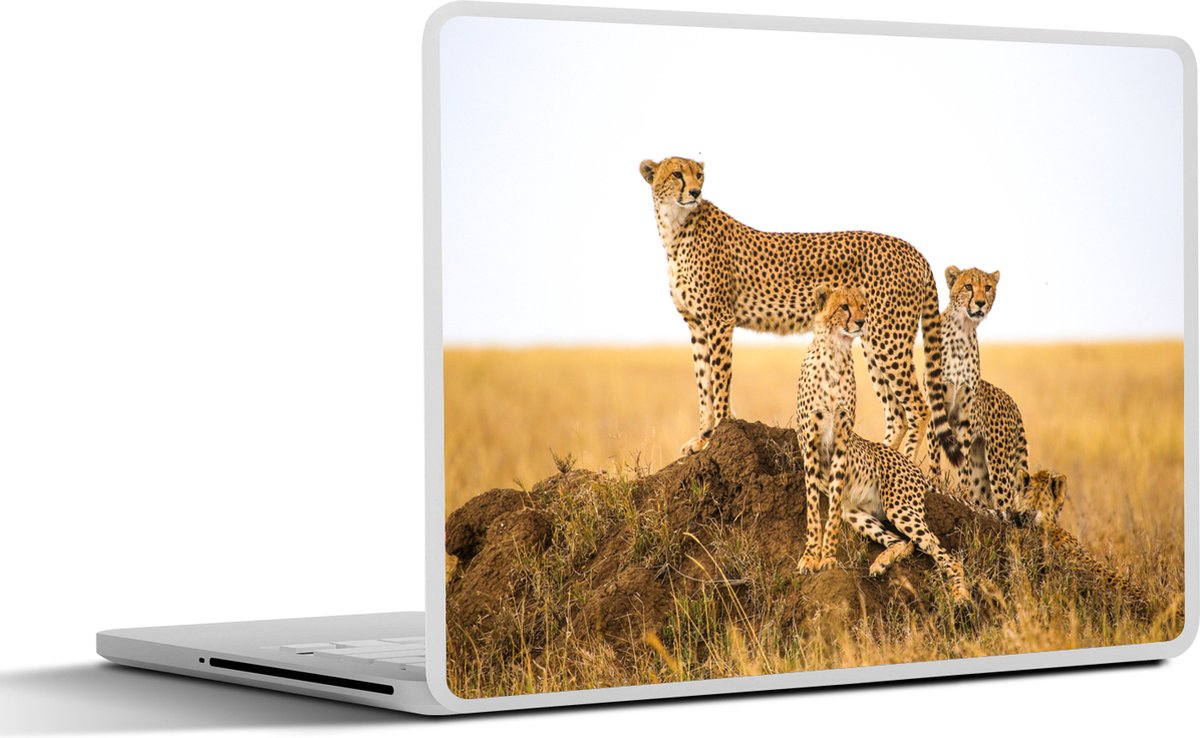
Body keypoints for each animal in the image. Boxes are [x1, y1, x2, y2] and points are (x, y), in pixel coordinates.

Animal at [639, 156, 962, 467]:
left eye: (699, 175)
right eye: (677, 174)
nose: (695, 192)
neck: (675, 228)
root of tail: (913, 250)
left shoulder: (719, 320)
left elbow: (718, 382)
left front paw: (715, 436)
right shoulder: (696, 324)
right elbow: (703, 384)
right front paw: (702, 438)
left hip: (888, 339)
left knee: (919, 408)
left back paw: (905, 464)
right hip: (872, 338)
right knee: (897, 413)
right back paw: (879, 460)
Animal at [794, 286, 970, 604]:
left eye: (863, 306)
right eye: (844, 307)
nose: (862, 322)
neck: (835, 351)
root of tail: (912, 466)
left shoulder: (841, 442)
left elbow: (831, 511)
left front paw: (828, 558)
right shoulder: (810, 444)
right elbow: (815, 508)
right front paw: (810, 557)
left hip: (900, 508)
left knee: (945, 555)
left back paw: (961, 595)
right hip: (859, 513)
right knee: (905, 542)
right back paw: (881, 563)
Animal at [927, 266, 1028, 518]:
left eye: (988, 287)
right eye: (968, 286)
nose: (981, 302)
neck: (963, 331)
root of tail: (1012, 401)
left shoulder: (965, 415)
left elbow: (961, 462)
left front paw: (961, 493)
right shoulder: (935, 405)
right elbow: (934, 453)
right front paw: (933, 482)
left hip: (999, 462)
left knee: (1005, 502)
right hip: (984, 465)